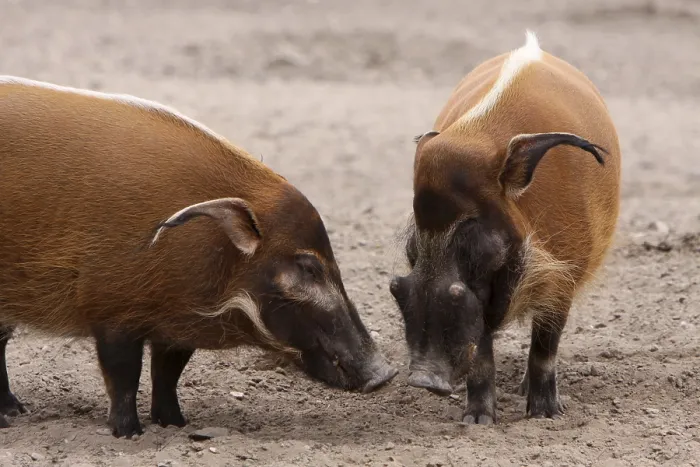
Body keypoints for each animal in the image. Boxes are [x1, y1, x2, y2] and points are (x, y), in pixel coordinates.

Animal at [0, 76, 397, 437]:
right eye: (308, 267)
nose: (385, 374)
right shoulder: (113, 313)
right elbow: (124, 375)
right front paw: (130, 434)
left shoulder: (176, 325)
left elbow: (168, 373)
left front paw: (176, 425)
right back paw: (11, 417)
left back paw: (16, 411)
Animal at [389, 31, 620, 423]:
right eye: (412, 248)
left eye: (475, 242)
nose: (423, 380)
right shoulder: (479, 301)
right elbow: (482, 357)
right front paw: (477, 422)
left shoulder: (564, 276)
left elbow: (545, 346)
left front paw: (545, 417)